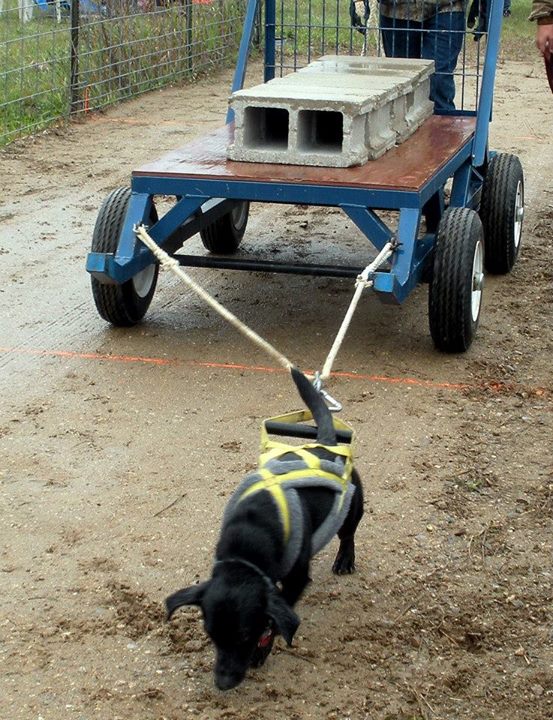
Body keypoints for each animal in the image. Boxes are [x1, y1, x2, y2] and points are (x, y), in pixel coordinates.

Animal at [164, 368, 362, 688]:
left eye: (245, 635)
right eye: (211, 634)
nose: (222, 682)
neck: (248, 543)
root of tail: (326, 442)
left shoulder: (295, 581)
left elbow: (276, 621)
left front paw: (262, 650)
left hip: (352, 508)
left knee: (349, 534)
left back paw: (345, 559)